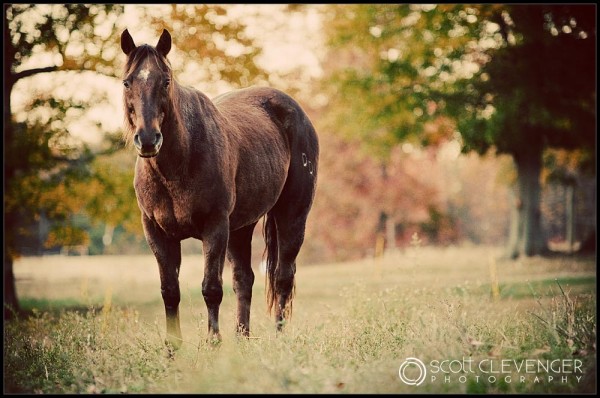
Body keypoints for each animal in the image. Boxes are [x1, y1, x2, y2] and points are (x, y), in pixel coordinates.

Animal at [118, 28, 318, 348]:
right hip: (241, 228)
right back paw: (242, 338)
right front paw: (173, 348)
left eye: (166, 81)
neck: (179, 164)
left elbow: (211, 287)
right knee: (244, 279)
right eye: (127, 82)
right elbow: (169, 291)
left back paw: (279, 338)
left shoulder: (215, 228)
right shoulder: (157, 233)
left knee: (283, 277)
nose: (148, 139)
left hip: (291, 216)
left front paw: (213, 342)